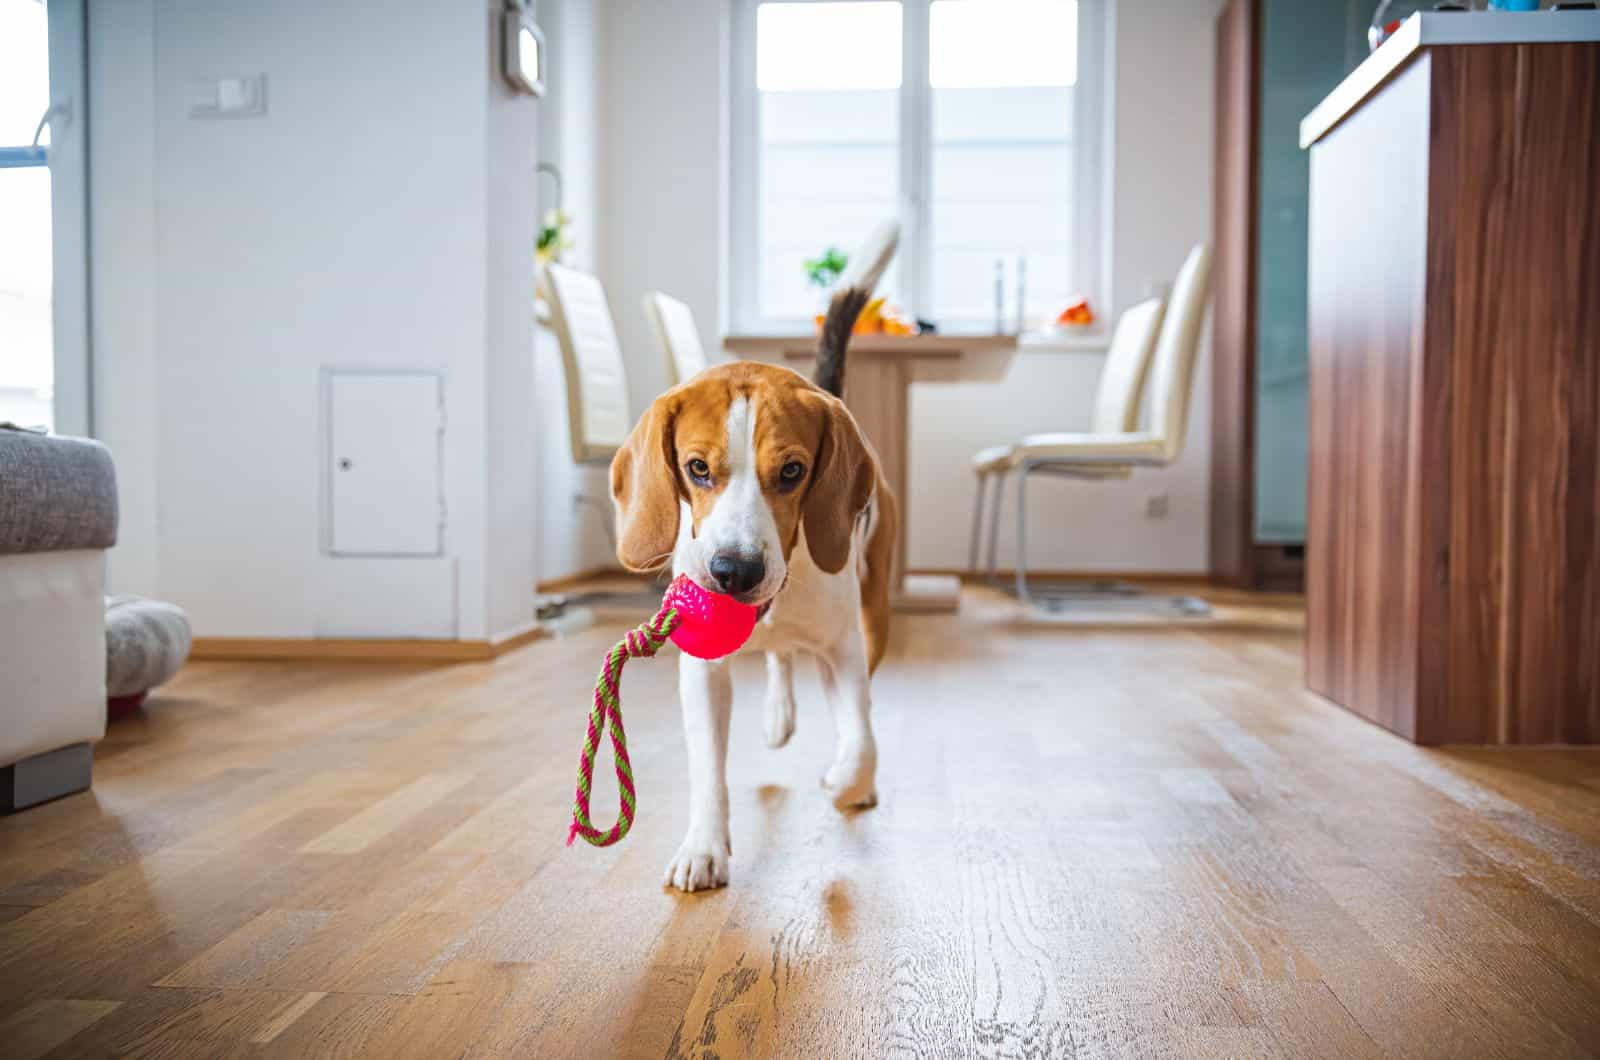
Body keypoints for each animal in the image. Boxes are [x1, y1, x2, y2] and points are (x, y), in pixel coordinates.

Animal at [604, 286, 896, 890]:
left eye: (792, 471)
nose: (734, 572)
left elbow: (861, 738)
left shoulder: (844, 651)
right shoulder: (702, 671)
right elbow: (707, 770)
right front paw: (704, 847)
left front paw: (846, 780)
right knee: (778, 657)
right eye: (696, 468)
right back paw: (777, 714)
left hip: (875, 613)